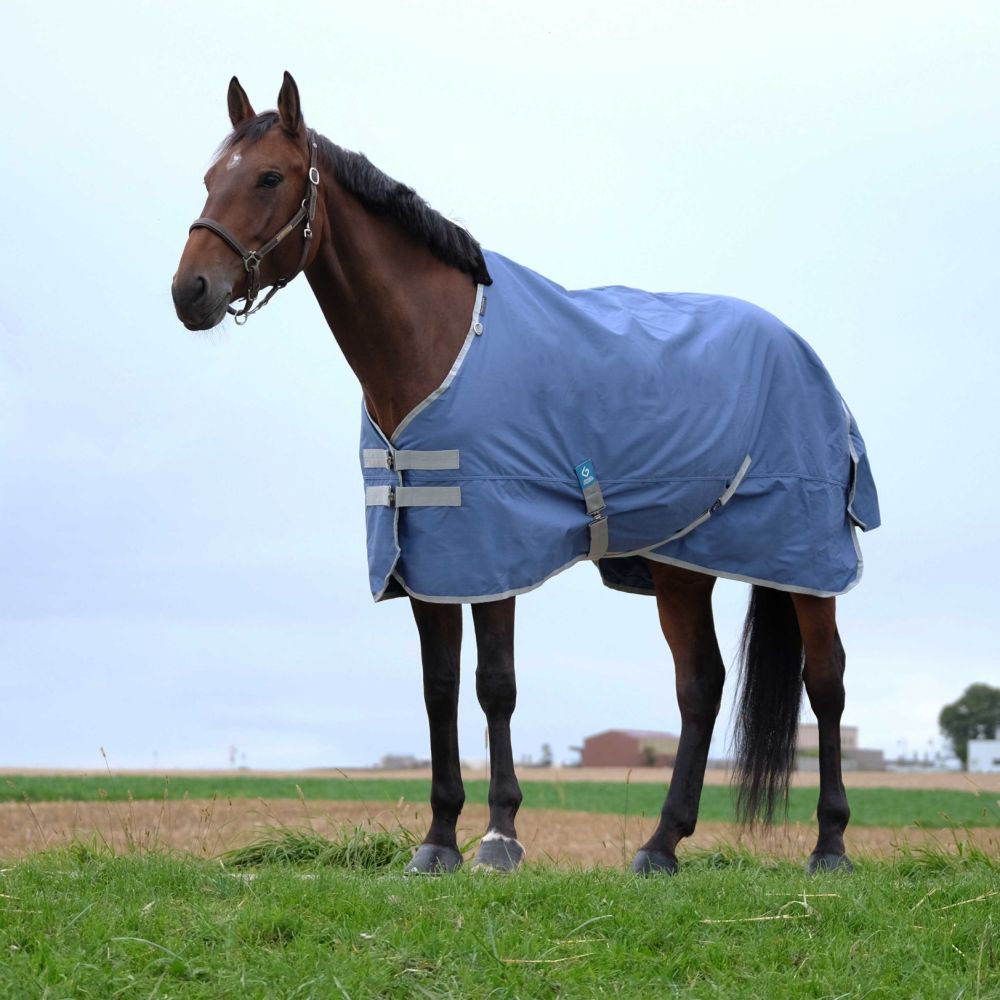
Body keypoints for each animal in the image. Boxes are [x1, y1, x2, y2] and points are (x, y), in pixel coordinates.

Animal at [172, 72, 880, 876]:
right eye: (209, 178)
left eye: (269, 177)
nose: (190, 291)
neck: (437, 341)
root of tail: (804, 354)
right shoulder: (428, 555)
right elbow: (440, 688)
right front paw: (437, 839)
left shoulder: (493, 546)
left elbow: (495, 687)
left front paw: (499, 836)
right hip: (681, 562)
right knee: (701, 685)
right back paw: (659, 847)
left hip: (806, 560)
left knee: (826, 682)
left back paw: (830, 845)